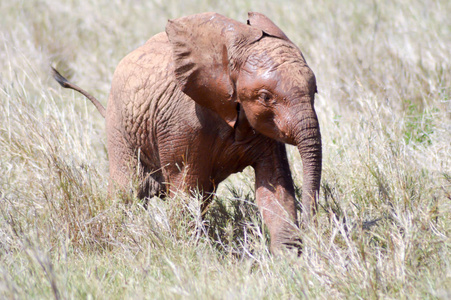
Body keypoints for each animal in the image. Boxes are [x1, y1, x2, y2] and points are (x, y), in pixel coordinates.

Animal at [53, 12, 322, 254]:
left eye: (315, 90)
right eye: (265, 97)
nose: (311, 226)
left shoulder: (264, 128)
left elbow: (275, 186)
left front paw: (289, 260)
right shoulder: (184, 124)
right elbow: (185, 190)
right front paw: (192, 255)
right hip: (119, 124)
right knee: (126, 190)